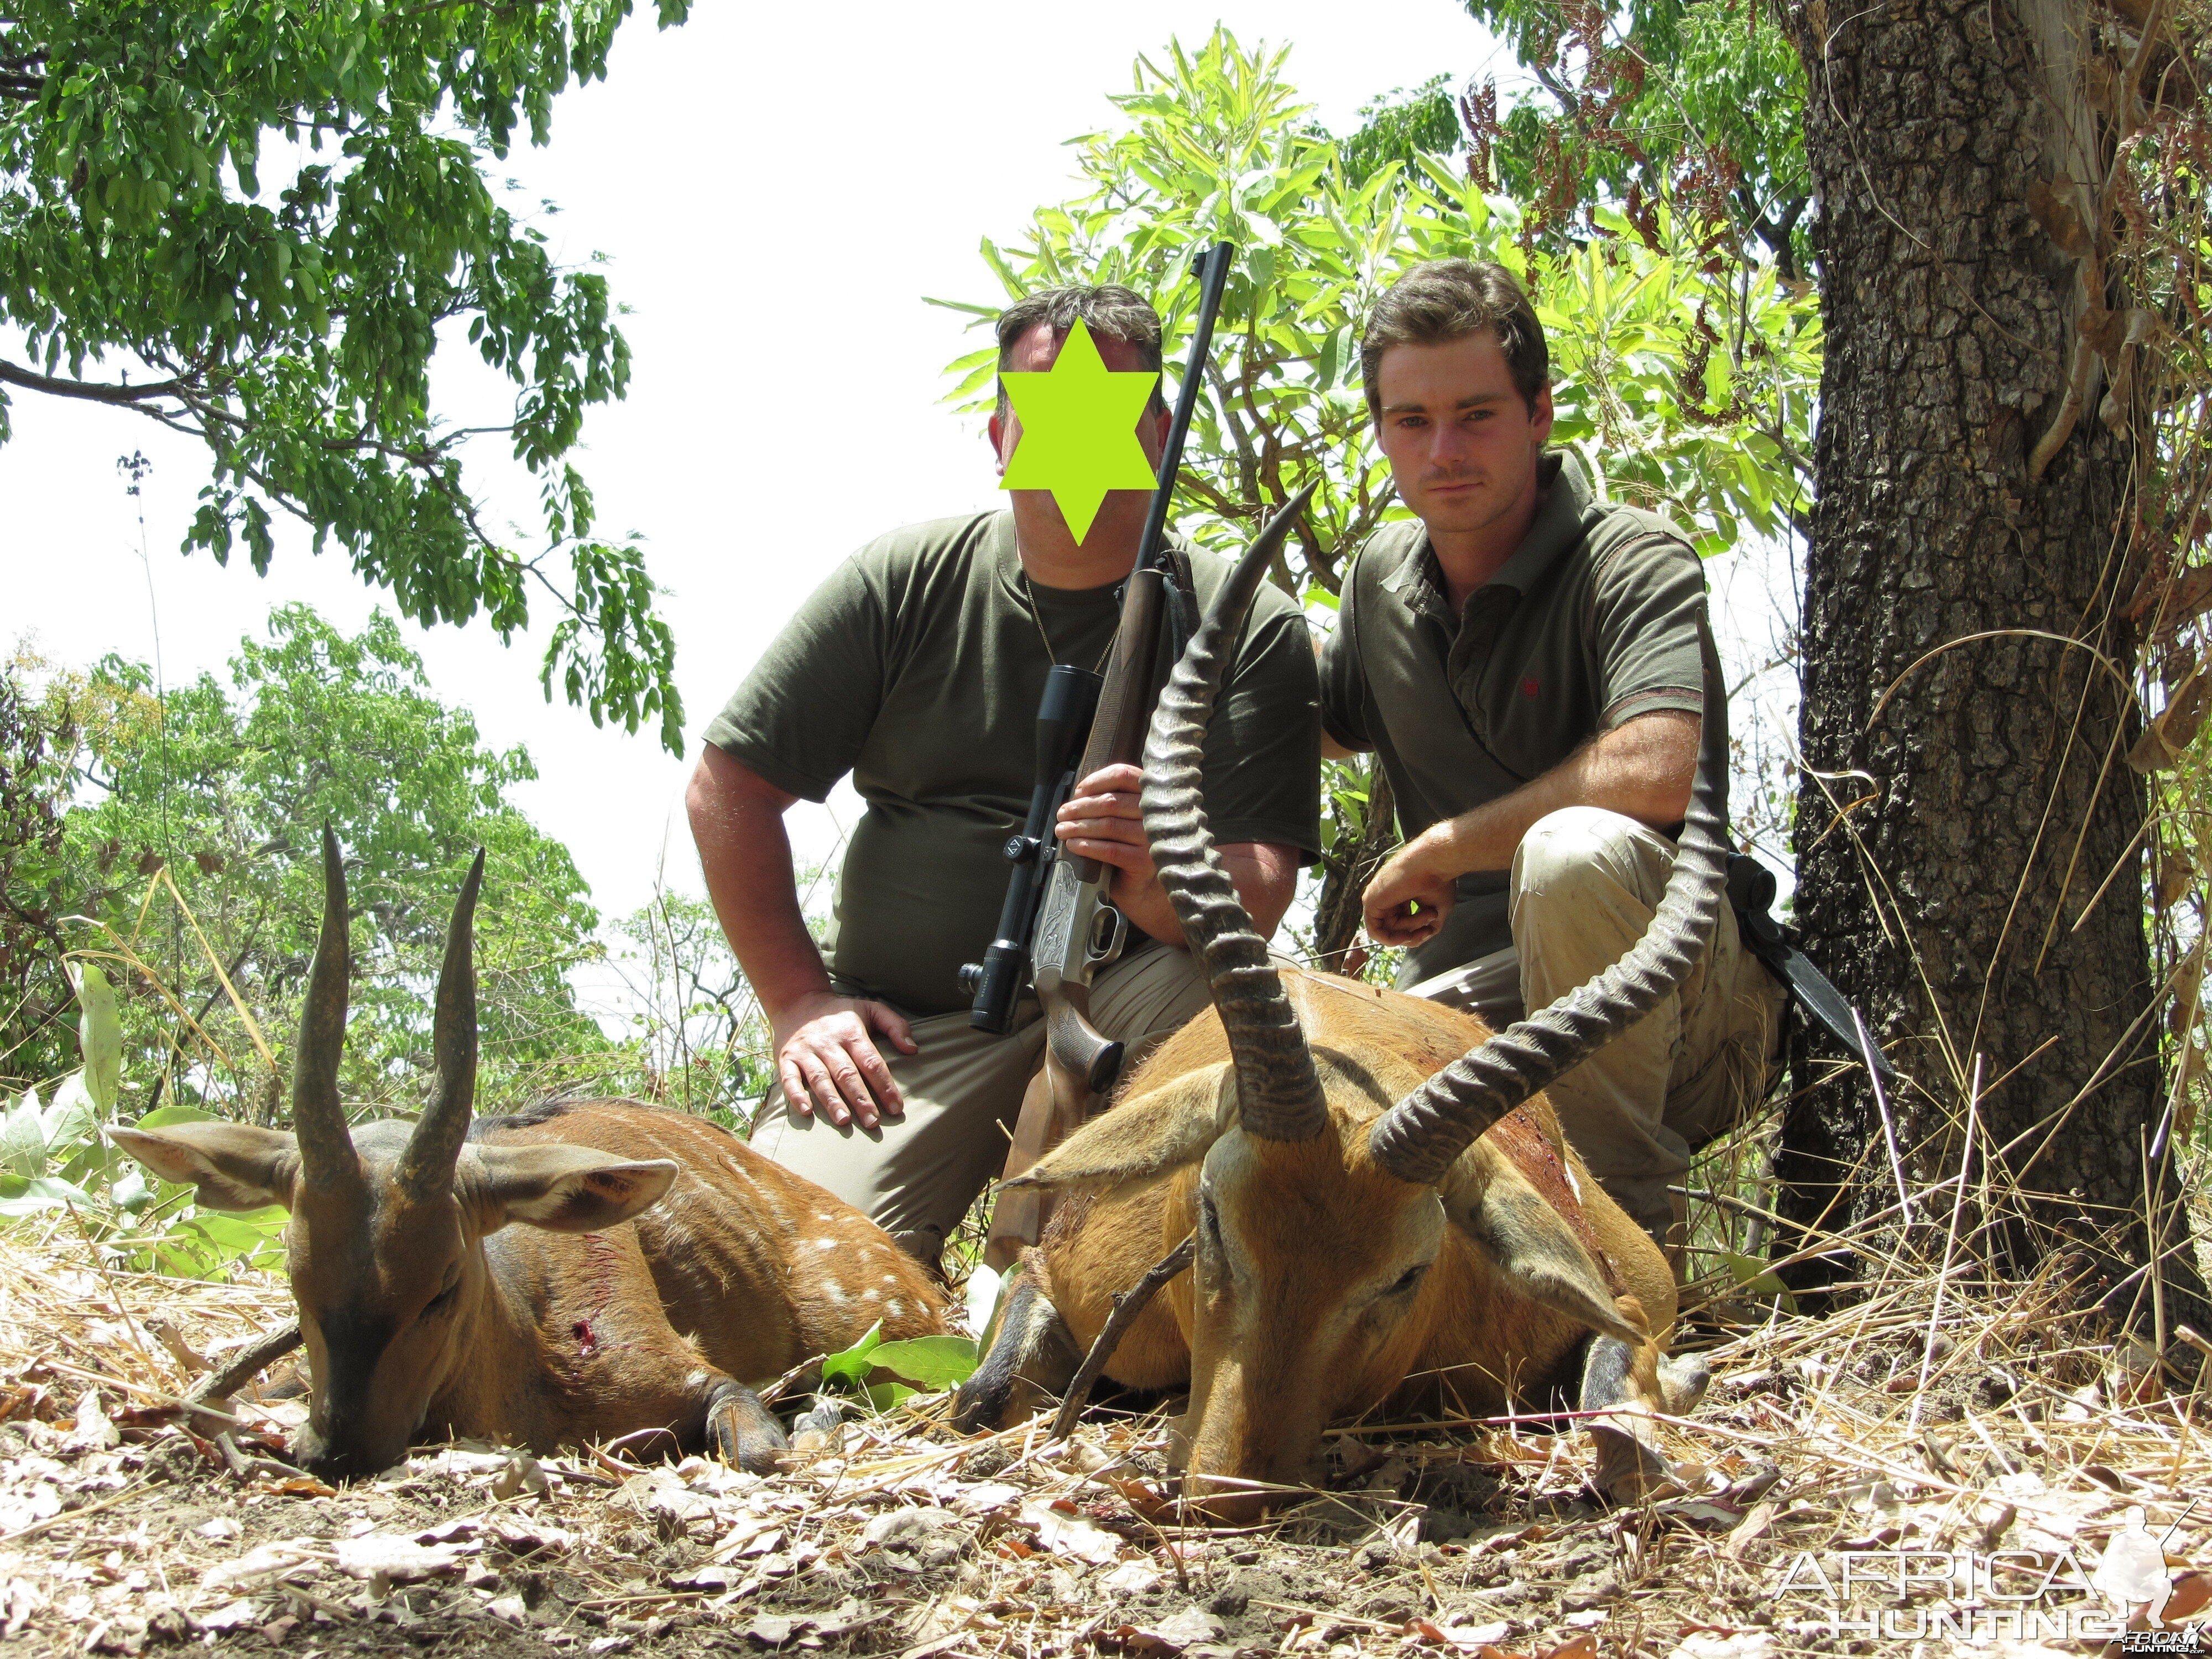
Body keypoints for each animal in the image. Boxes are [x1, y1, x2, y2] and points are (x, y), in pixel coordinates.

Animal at [960, 487, 1717, 1513]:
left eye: (1407, 1272)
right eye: (1213, 1216)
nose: (1233, 1486)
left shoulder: (1621, 1303)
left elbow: (1618, 1411)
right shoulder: (1049, 1272)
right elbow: (984, 1394)